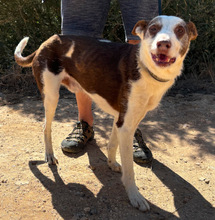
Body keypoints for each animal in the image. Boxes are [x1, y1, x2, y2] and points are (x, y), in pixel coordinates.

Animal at [14, 15, 197, 211]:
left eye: (180, 30)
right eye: (153, 28)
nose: (163, 43)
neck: (143, 66)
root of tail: (47, 41)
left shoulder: (122, 119)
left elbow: (112, 144)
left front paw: (112, 164)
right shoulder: (126, 125)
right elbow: (130, 169)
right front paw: (135, 196)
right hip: (51, 95)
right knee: (45, 127)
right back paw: (49, 155)